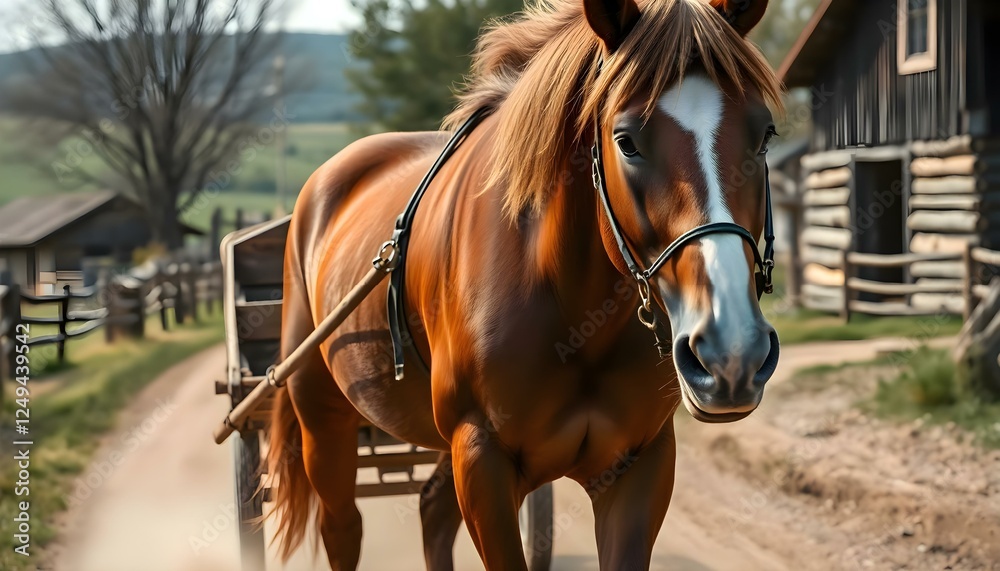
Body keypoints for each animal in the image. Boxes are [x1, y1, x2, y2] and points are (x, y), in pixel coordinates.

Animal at [266, 0, 783, 568]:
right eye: (626, 142)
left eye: (764, 135)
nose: (731, 354)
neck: (571, 310)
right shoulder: (481, 458)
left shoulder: (639, 464)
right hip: (323, 423)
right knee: (342, 528)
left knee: (431, 513)